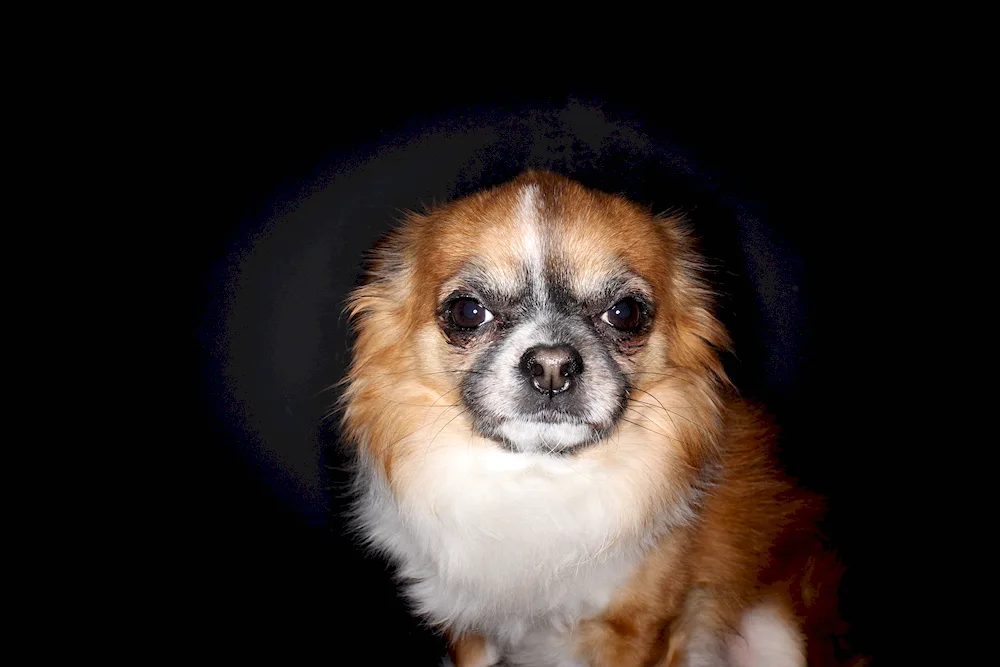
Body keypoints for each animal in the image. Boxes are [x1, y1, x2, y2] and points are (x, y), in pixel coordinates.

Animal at [338, 170, 860, 664]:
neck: (538, 479)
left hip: (776, 634)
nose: (551, 364)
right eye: (468, 312)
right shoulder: (468, 625)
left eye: (625, 313)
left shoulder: (638, 631)